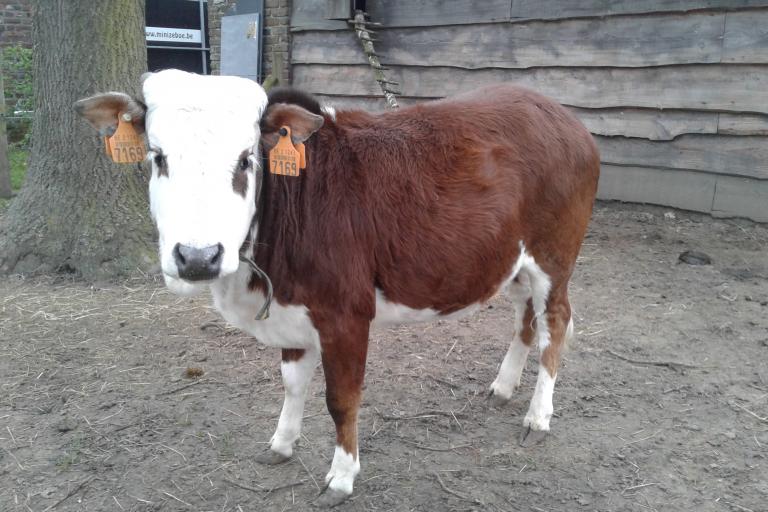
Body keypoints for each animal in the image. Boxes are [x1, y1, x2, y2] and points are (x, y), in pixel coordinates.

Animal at [76, 69, 600, 508]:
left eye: (246, 160)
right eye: (157, 157)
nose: (198, 256)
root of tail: (555, 110)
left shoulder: (347, 314)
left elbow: (340, 399)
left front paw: (342, 477)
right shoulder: (290, 309)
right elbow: (292, 382)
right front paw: (281, 444)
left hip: (555, 257)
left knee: (554, 324)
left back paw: (538, 415)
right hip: (510, 261)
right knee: (525, 319)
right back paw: (504, 386)